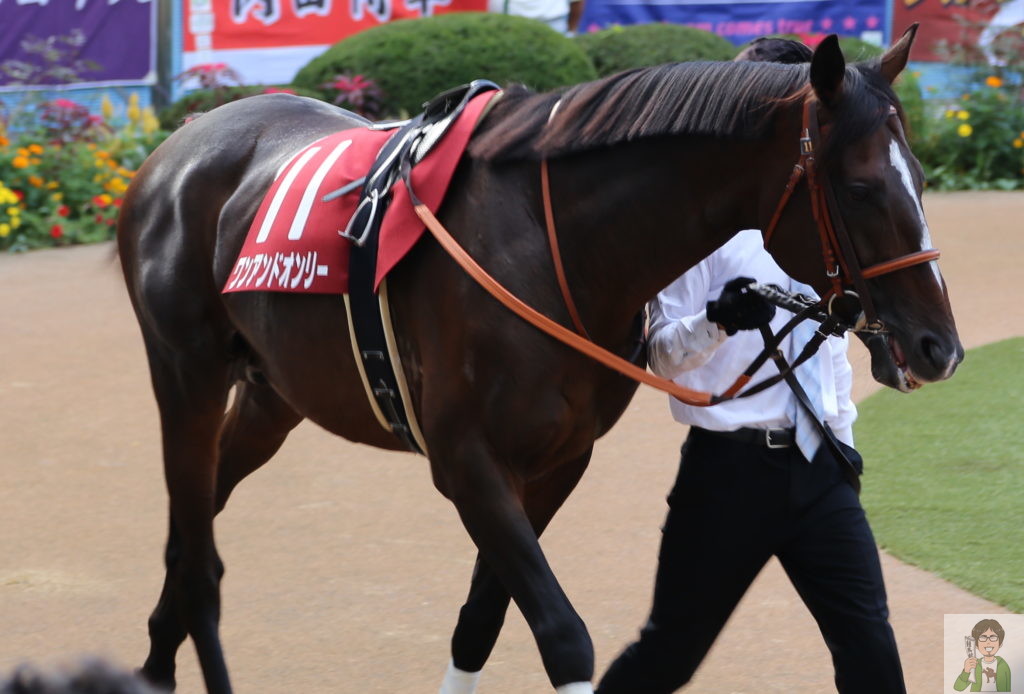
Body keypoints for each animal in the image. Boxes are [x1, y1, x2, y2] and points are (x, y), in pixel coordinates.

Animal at [117, 27, 961, 694]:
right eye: (861, 186)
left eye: (922, 177)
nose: (940, 347)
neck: (552, 247)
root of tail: (180, 141)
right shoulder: (465, 460)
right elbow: (562, 634)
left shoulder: (557, 461)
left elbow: (481, 619)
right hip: (184, 373)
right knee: (197, 555)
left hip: (274, 394)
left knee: (192, 528)